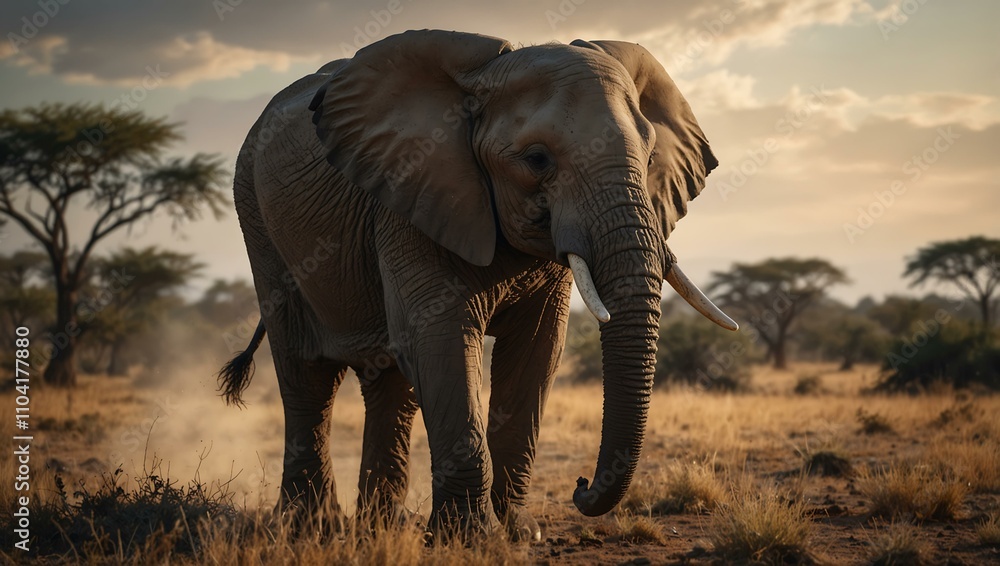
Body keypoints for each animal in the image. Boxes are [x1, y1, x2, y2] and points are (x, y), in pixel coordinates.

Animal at [218, 29, 736, 540]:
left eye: (649, 158)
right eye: (537, 159)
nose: (581, 485)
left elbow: (537, 350)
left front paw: (519, 533)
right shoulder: (412, 196)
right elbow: (440, 339)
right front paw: (471, 539)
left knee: (389, 383)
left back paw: (379, 531)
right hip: (257, 219)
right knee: (307, 376)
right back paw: (311, 530)